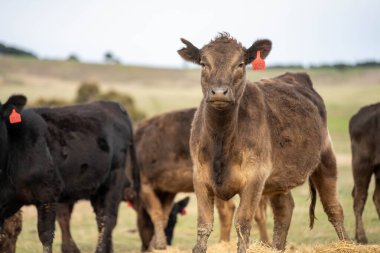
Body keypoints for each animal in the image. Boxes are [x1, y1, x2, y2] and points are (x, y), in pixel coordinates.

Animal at [0, 95, 140, 253]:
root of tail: (112, 104)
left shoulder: (48, 193)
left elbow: (46, 235)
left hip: (114, 179)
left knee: (107, 219)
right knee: (97, 219)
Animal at [135, 107, 268, 250]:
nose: (143, 247)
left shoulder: (145, 185)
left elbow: (156, 213)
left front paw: (156, 245)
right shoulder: (168, 190)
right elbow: (164, 214)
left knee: (228, 210)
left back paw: (223, 243)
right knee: (258, 213)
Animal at [179, 32, 350, 252]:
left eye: (240, 64)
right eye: (203, 63)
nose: (219, 92)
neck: (221, 140)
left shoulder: (255, 178)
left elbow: (242, 224)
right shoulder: (200, 177)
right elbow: (204, 225)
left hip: (326, 159)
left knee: (334, 208)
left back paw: (347, 243)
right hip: (279, 179)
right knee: (284, 210)